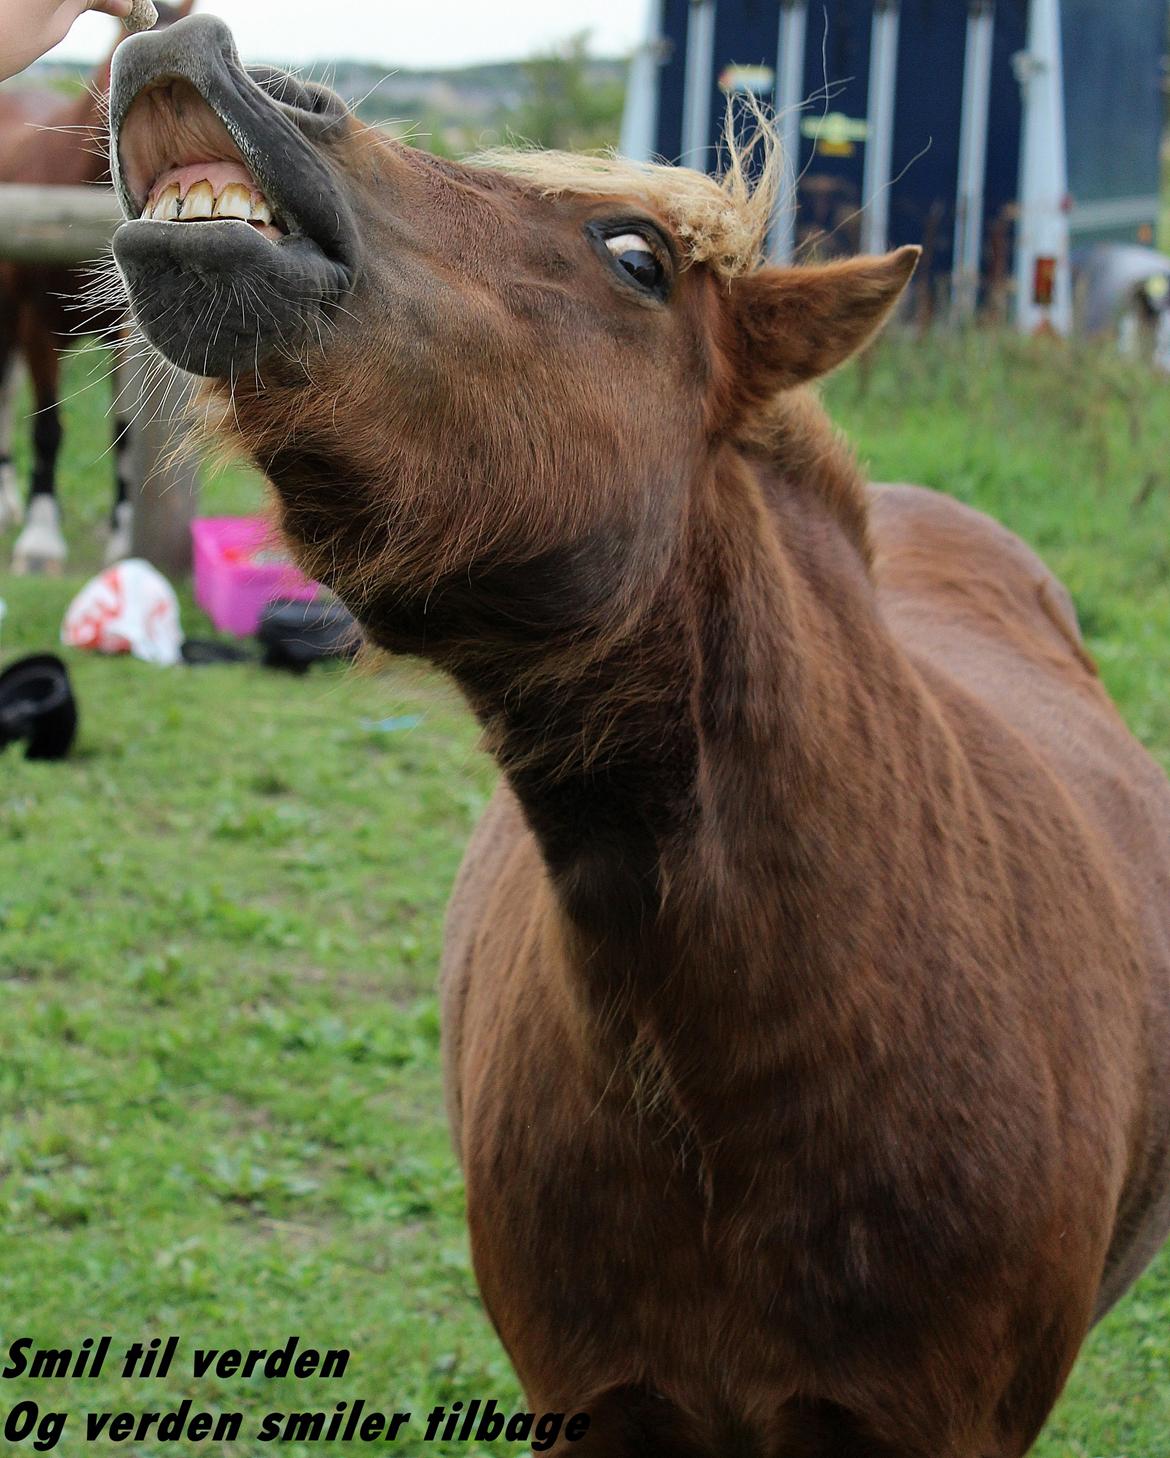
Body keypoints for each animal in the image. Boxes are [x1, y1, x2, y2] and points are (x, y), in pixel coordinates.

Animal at [0, 0, 194, 568]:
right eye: (118, 64)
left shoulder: (126, 337)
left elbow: (123, 431)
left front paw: (122, 533)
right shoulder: (37, 325)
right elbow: (47, 429)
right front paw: (40, 541)